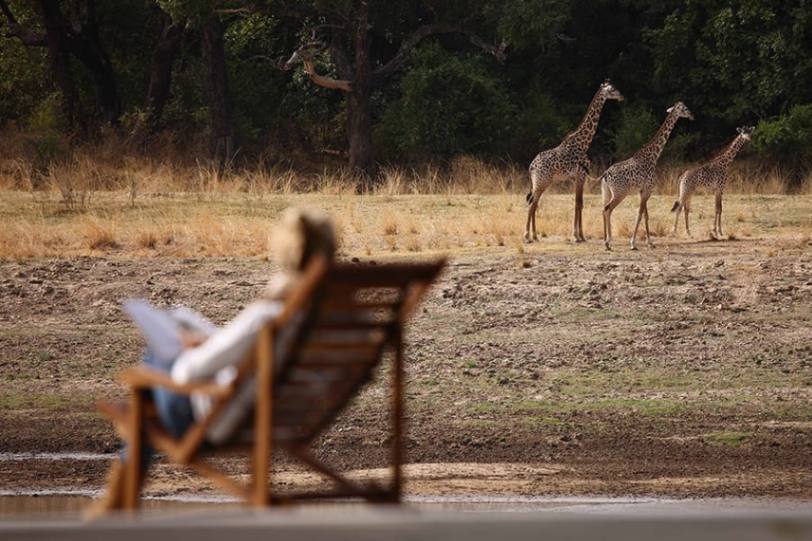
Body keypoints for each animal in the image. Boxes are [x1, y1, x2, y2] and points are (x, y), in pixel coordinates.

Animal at [524, 80, 624, 243]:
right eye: (612, 90)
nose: (621, 97)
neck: (584, 143)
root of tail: (531, 167)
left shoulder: (575, 177)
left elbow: (578, 203)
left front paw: (578, 235)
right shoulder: (581, 175)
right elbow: (579, 203)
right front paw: (578, 236)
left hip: (539, 183)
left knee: (534, 203)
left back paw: (535, 235)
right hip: (542, 182)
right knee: (532, 204)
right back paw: (527, 236)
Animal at [601, 101, 694, 251]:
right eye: (685, 109)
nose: (692, 115)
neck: (653, 156)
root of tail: (605, 174)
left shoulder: (642, 191)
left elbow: (645, 215)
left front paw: (650, 242)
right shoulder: (648, 190)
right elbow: (640, 214)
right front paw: (633, 243)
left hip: (607, 192)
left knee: (604, 209)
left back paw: (607, 241)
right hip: (620, 193)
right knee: (608, 209)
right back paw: (608, 242)